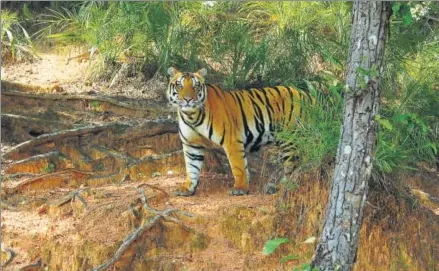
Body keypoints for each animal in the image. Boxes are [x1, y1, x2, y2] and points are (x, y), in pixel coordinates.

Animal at [166, 67, 312, 197]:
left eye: (195, 86)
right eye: (179, 85)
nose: (188, 99)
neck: (191, 116)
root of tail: (305, 94)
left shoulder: (232, 141)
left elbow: (238, 166)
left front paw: (240, 189)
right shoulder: (191, 145)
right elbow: (192, 167)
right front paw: (187, 188)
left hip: (291, 138)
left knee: (292, 167)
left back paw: (284, 187)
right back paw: (274, 186)